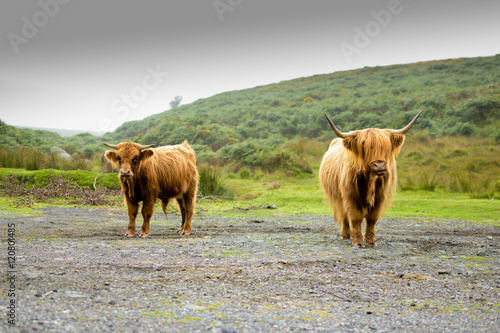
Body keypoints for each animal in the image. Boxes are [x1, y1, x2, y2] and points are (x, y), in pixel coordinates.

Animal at [320, 111, 422, 246]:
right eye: (364, 144)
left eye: (386, 144)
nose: (380, 165)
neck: (370, 179)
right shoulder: (349, 195)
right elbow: (355, 217)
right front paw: (358, 242)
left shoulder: (380, 196)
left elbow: (372, 218)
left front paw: (371, 241)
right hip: (338, 197)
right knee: (344, 215)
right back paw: (345, 235)